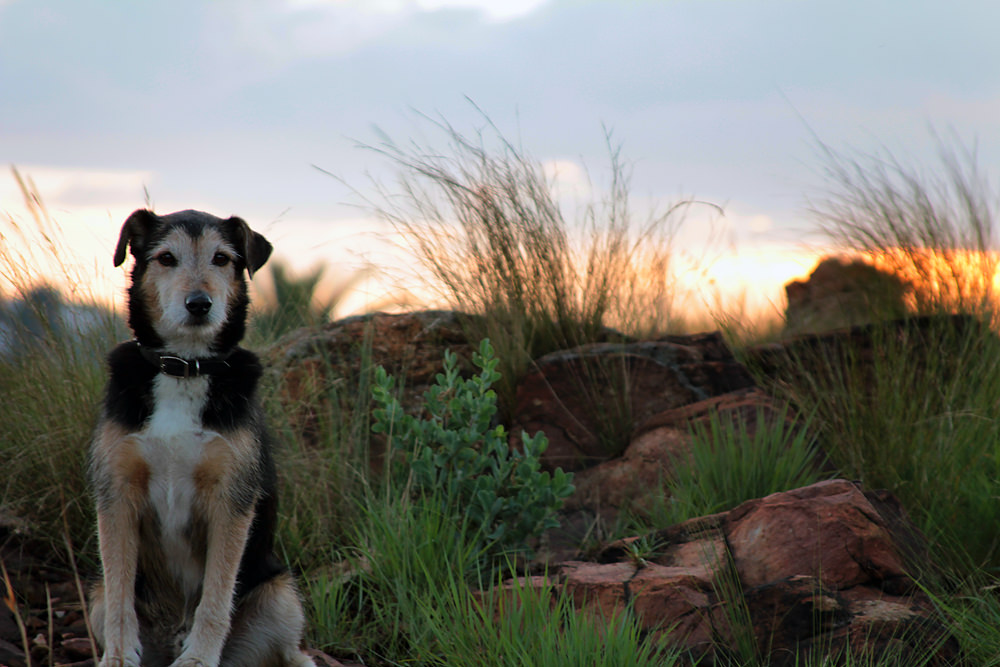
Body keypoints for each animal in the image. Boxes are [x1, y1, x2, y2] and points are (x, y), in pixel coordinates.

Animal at [88, 209, 316, 667]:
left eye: (222, 259)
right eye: (166, 258)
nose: (199, 304)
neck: (184, 366)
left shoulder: (231, 498)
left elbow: (215, 596)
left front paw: (198, 659)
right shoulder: (117, 492)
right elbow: (121, 593)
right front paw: (118, 657)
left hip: (281, 595)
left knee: (290, 651)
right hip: (95, 600)